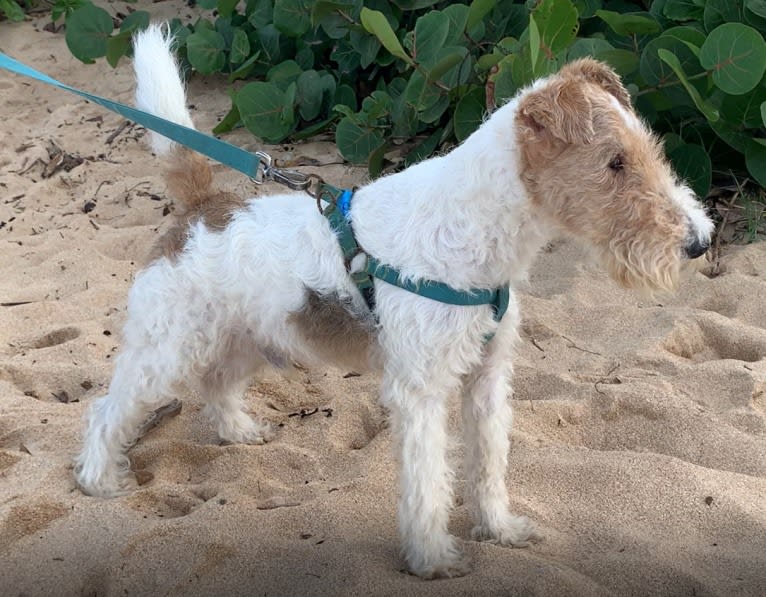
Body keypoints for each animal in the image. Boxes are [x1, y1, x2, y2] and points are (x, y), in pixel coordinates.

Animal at [75, 25, 716, 580]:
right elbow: (428, 480)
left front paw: (501, 530)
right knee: (108, 411)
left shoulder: (488, 376)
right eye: (614, 163)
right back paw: (99, 481)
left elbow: (489, 464)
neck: (476, 232)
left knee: (216, 384)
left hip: (251, 337)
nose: (699, 241)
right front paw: (433, 559)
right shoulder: (421, 389)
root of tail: (203, 208)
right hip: (165, 350)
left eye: (648, 150)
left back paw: (241, 433)